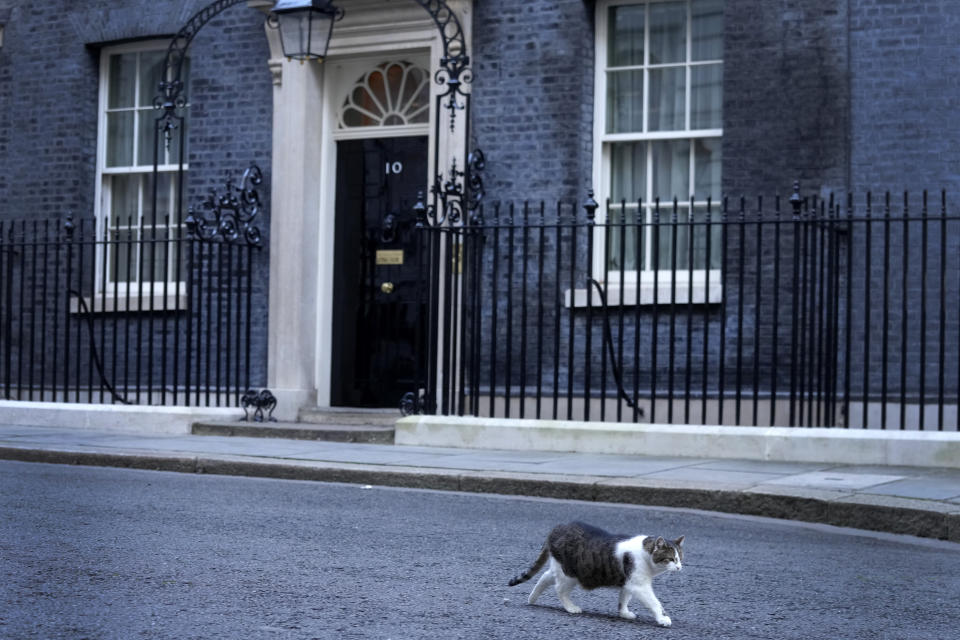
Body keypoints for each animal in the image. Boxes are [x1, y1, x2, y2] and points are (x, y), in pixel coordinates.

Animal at [510, 520, 684, 624]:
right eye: (670, 559)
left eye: (680, 558)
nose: (679, 567)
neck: (645, 553)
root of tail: (557, 528)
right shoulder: (639, 585)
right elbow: (654, 602)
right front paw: (662, 618)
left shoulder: (629, 581)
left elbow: (624, 599)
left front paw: (624, 613)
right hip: (570, 574)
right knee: (559, 589)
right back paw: (570, 607)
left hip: (561, 568)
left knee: (545, 577)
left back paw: (532, 598)